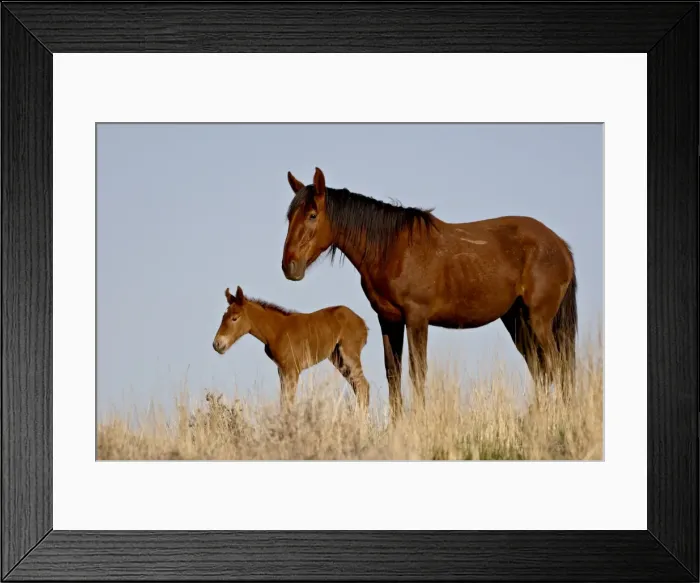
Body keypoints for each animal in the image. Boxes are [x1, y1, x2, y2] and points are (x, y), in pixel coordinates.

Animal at [212, 286, 371, 411]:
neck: (277, 331)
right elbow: (284, 401)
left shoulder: (292, 369)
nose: (217, 344)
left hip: (349, 354)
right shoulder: (282, 371)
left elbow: (289, 401)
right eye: (223, 316)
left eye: (234, 318)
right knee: (358, 387)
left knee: (363, 386)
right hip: (338, 358)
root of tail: (363, 323)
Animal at [281, 167, 577, 421]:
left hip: (538, 320)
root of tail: (560, 245)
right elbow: (393, 372)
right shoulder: (388, 320)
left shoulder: (417, 319)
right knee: (541, 370)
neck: (391, 249)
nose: (289, 266)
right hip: (516, 321)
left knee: (557, 366)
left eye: (312, 215)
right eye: (289, 216)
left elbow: (417, 372)